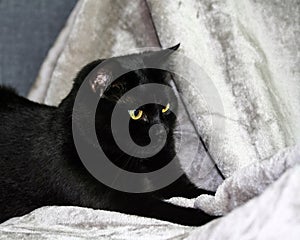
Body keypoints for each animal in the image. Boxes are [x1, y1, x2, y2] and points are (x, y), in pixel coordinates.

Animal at [0, 46, 216, 226]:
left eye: (165, 108)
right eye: (136, 113)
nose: (160, 130)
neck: (140, 162)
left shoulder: (177, 185)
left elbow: (203, 192)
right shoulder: (117, 198)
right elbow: (165, 208)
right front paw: (209, 217)